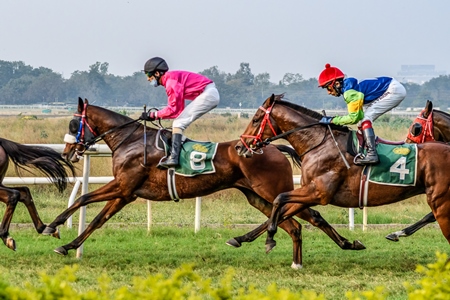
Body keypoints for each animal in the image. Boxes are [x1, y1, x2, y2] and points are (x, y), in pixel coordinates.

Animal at [42, 97, 364, 268]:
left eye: (74, 124)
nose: (68, 152)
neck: (129, 140)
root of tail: (272, 147)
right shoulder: (126, 193)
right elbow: (97, 219)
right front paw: (68, 245)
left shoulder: (123, 187)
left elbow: (83, 199)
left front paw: (51, 227)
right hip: (256, 196)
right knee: (296, 222)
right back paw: (307, 256)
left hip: (271, 190)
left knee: (305, 215)